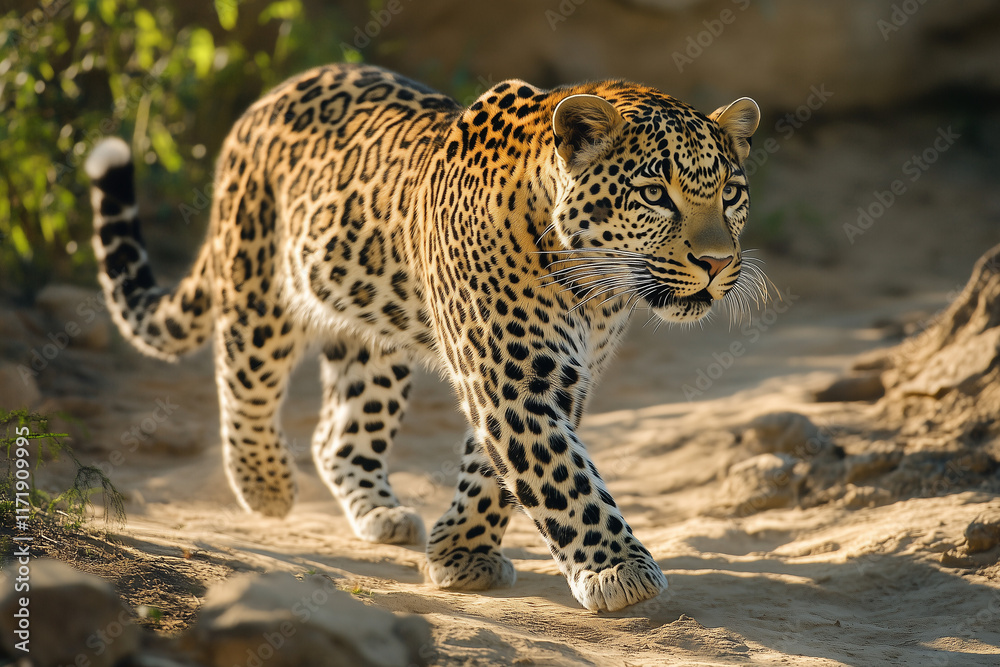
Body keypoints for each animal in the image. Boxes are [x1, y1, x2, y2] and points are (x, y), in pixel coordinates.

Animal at [85, 62, 762, 612]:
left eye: (730, 194)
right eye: (654, 194)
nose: (716, 263)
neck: (592, 286)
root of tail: (265, 100)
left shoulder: (558, 375)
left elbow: (497, 473)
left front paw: (461, 555)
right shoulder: (511, 376)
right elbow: (560, 474)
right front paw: (617, 569)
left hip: (372, 339)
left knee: (337, 435)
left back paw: (381, 512)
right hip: (259, 284)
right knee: (244, 380)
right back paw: (265, 484)